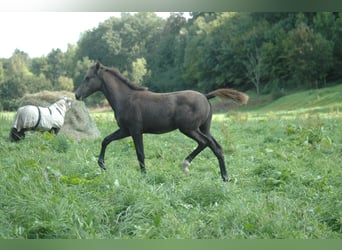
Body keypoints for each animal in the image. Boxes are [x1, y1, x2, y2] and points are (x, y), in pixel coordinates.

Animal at [74, 62, 248, 182]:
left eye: (88, 78)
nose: (76, 95)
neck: (126, 99)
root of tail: (205, 96)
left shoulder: (135, 130)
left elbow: (140, 153)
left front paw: (144, 175)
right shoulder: (125, 130)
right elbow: (105, 140)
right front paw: (102, 164)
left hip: (189, 128)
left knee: (205, 143)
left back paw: (186, 165)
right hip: (204, 128)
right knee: (216, 147)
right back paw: (225, 177)